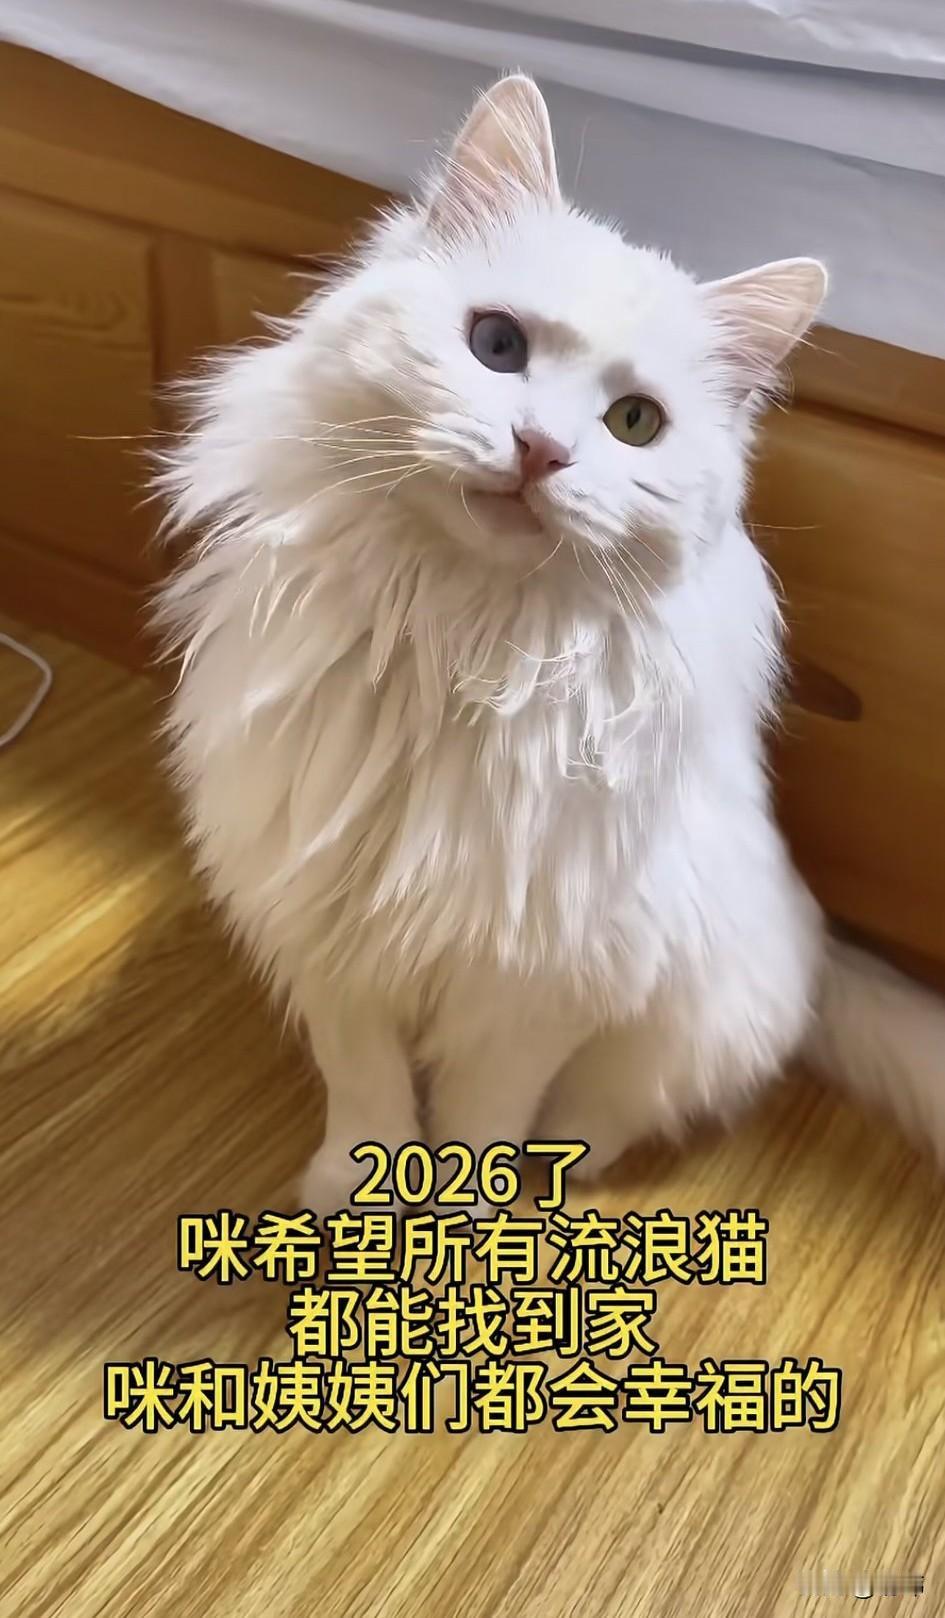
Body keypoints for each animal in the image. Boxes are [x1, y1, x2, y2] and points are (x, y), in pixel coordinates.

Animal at [157, 73, 945, 1211]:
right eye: (497, 346)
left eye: (634, 422)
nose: (541, 452)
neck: (451, 642)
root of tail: (816, 945)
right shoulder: (325, 930)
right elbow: (366, 1093)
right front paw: (353, 1192)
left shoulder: (536, 985)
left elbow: (479, 1120)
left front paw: (469, 1217)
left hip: (682, 1021)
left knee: (618, 1112)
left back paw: (565, 1169)